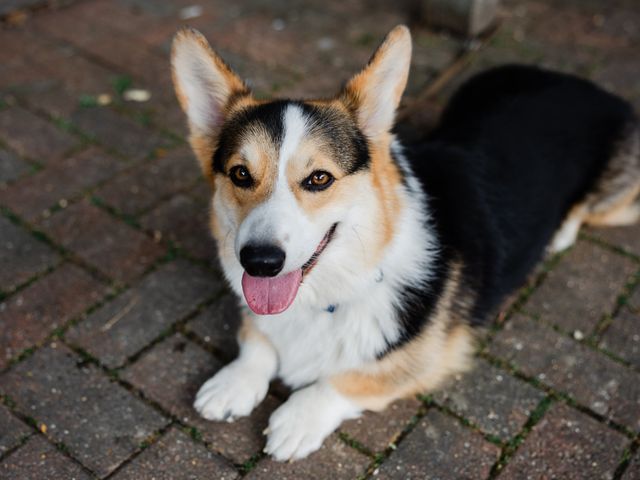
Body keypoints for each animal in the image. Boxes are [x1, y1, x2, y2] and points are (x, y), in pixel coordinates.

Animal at [171, 24, 640, 460]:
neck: (329, 293)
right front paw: (235, 381)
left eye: (319, 178)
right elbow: (257, 340)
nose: (260, 262)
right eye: (240, 175)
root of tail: (578, 82)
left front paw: (299, 418)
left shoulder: (430, 355)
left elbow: (349, 378)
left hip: (615, 194)